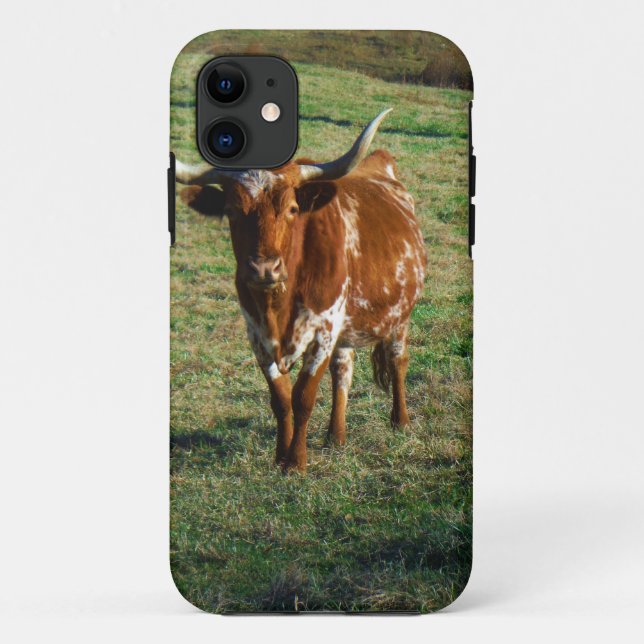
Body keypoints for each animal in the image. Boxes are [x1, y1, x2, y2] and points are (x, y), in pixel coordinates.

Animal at [175, 109, 427, 472]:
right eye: (232, 211)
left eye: (292, 209)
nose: (264, 269)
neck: (278, 305)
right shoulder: (257, 336)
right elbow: (280, 399)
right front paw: (281, 456)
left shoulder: (323, 332)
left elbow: (303, 396)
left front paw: (296, 462)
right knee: (343, 370)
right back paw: (336, 436)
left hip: (399, 316)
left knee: (397, 360)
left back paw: (400, 420)